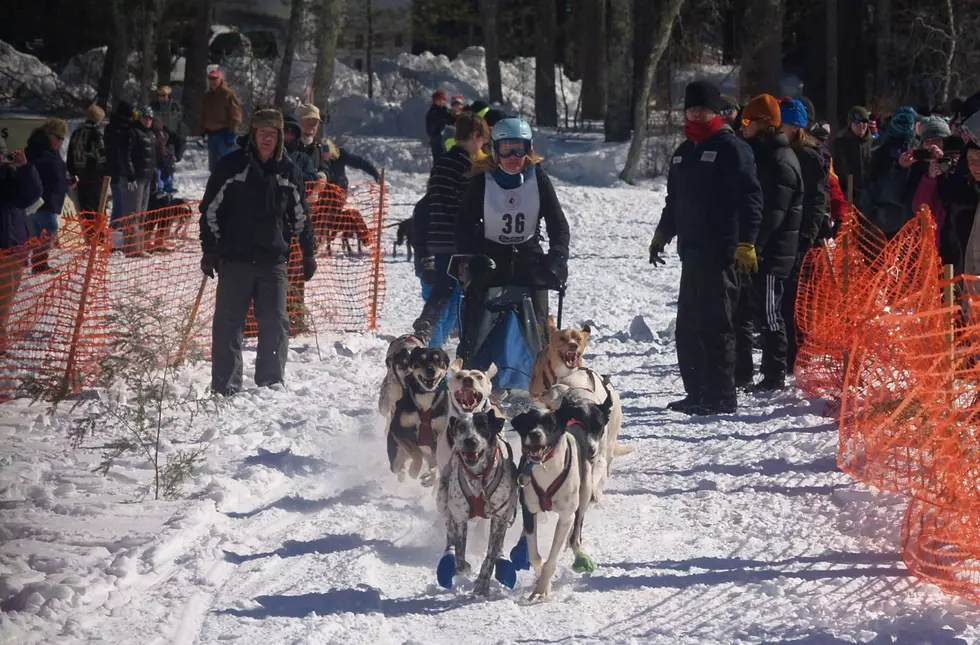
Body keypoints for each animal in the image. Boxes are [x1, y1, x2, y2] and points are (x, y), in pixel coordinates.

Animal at [390, 348, 452, 484]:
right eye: (420, 360)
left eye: (438, 360)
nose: (430, 370)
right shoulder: (397, 429)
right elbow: (417, 452)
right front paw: (414, 470)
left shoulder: (440, 433)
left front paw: (431, 475)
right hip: (396, 456)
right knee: (399, 468)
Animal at [436, 410, 520, 596]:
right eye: (461, 426)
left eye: (483, 426)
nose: (470, 441)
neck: (479, 477)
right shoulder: (460, 516)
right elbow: (460, 554)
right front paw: (463, 566)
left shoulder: (500, 515)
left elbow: (490, 554)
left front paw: (482, 582)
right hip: (442, 499)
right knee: (449, 529)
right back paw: (448, 555)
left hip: (508, 512)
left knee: (499, 543)